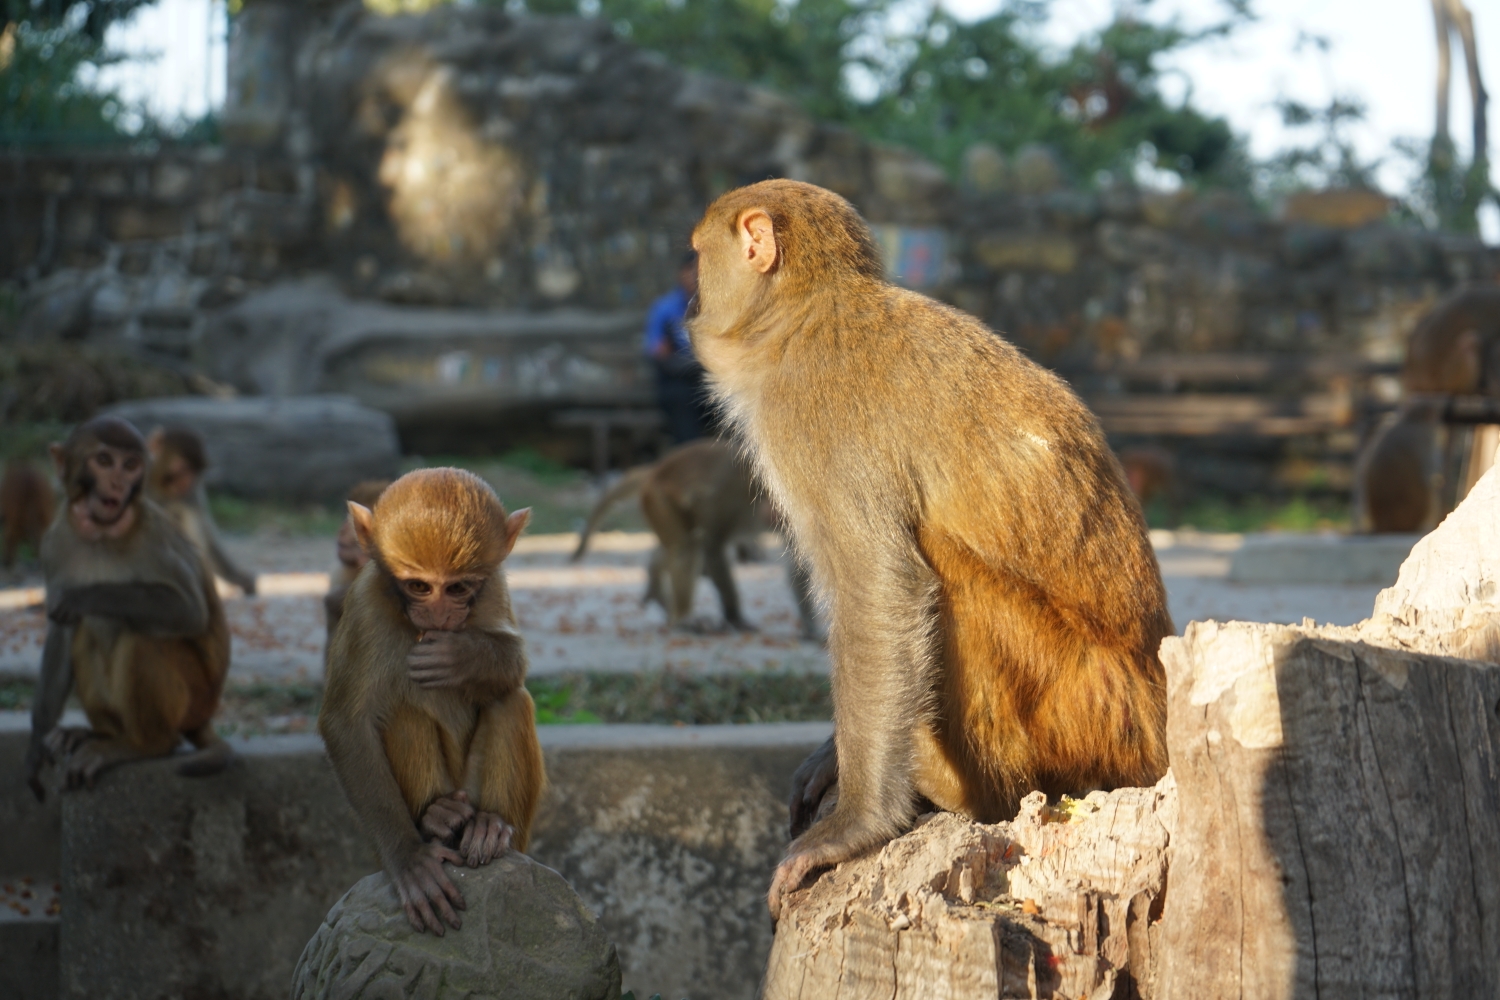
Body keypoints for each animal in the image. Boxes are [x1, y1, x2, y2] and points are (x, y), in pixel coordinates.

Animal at [21, 419, 234, 803]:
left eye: (131, 465)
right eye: (105, 461)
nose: (119, 484)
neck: (102, 534)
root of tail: (205, 715)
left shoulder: (155, 536)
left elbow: (189, 610)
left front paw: (83, 596)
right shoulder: (54, 543)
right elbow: (62, 631)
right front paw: (35, 745)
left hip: (193, 699)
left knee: (142, 638)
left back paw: (144, 745)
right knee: (86, 633)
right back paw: (101, 735)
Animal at [144, 425, 259, 599]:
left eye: (195, 472)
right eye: (182, 468)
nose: (186, 482)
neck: (159, 485)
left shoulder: (192, 492)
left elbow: (205, 530)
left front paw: (237, 578)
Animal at [316, 470, 546, 941]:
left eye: (457, 587)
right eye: (419, 586)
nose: (440, 617)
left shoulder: (493, 586)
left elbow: (514, 667)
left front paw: (462, 657)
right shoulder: (365, 602)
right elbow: (345, 723)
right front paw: (409, 859)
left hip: (490, 805)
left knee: (510, 701)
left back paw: (490, 827)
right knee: (401, 714)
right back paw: (437, 819)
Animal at [567, 440, 822, 641]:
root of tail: (657, 468)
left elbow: (799, 566)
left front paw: (811, 628)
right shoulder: (731, 495)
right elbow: (713, 547)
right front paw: (734, 616)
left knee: (678, 545)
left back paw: (657, 584)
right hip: (658, 498)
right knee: (687, 548)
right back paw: (683, 619)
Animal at [687, 179, 1176, 917]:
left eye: (696, 256)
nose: (690, 301)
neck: (805, 313)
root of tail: (1158, 709)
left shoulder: (809, 418)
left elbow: (882, 587)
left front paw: (856, 826)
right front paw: (830, 759)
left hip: (1090, 711)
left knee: (950, 580)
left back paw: (964, 790)